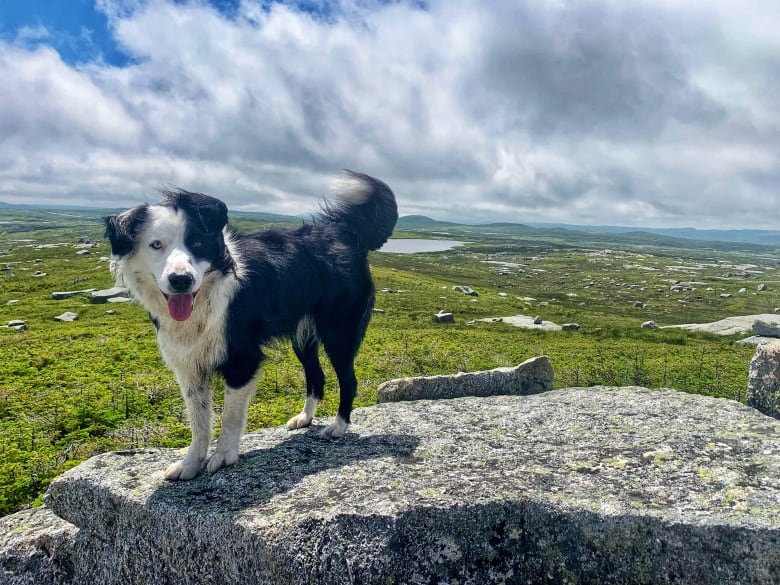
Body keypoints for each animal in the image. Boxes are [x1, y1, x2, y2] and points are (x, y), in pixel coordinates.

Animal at [103, 170, 396, 480]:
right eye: (156, 244)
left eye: (197, 244)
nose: (180, 280)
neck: (209, 293)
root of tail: (342, 233)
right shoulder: (189, 365)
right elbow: (199, 421)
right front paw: (191, 463)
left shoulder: (242, 359)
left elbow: (230, 415)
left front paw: (223, 456)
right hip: (303, 338)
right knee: (316, 377)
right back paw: (305, 418)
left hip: (339, 333)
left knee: (348, 380)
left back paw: (338, 427)